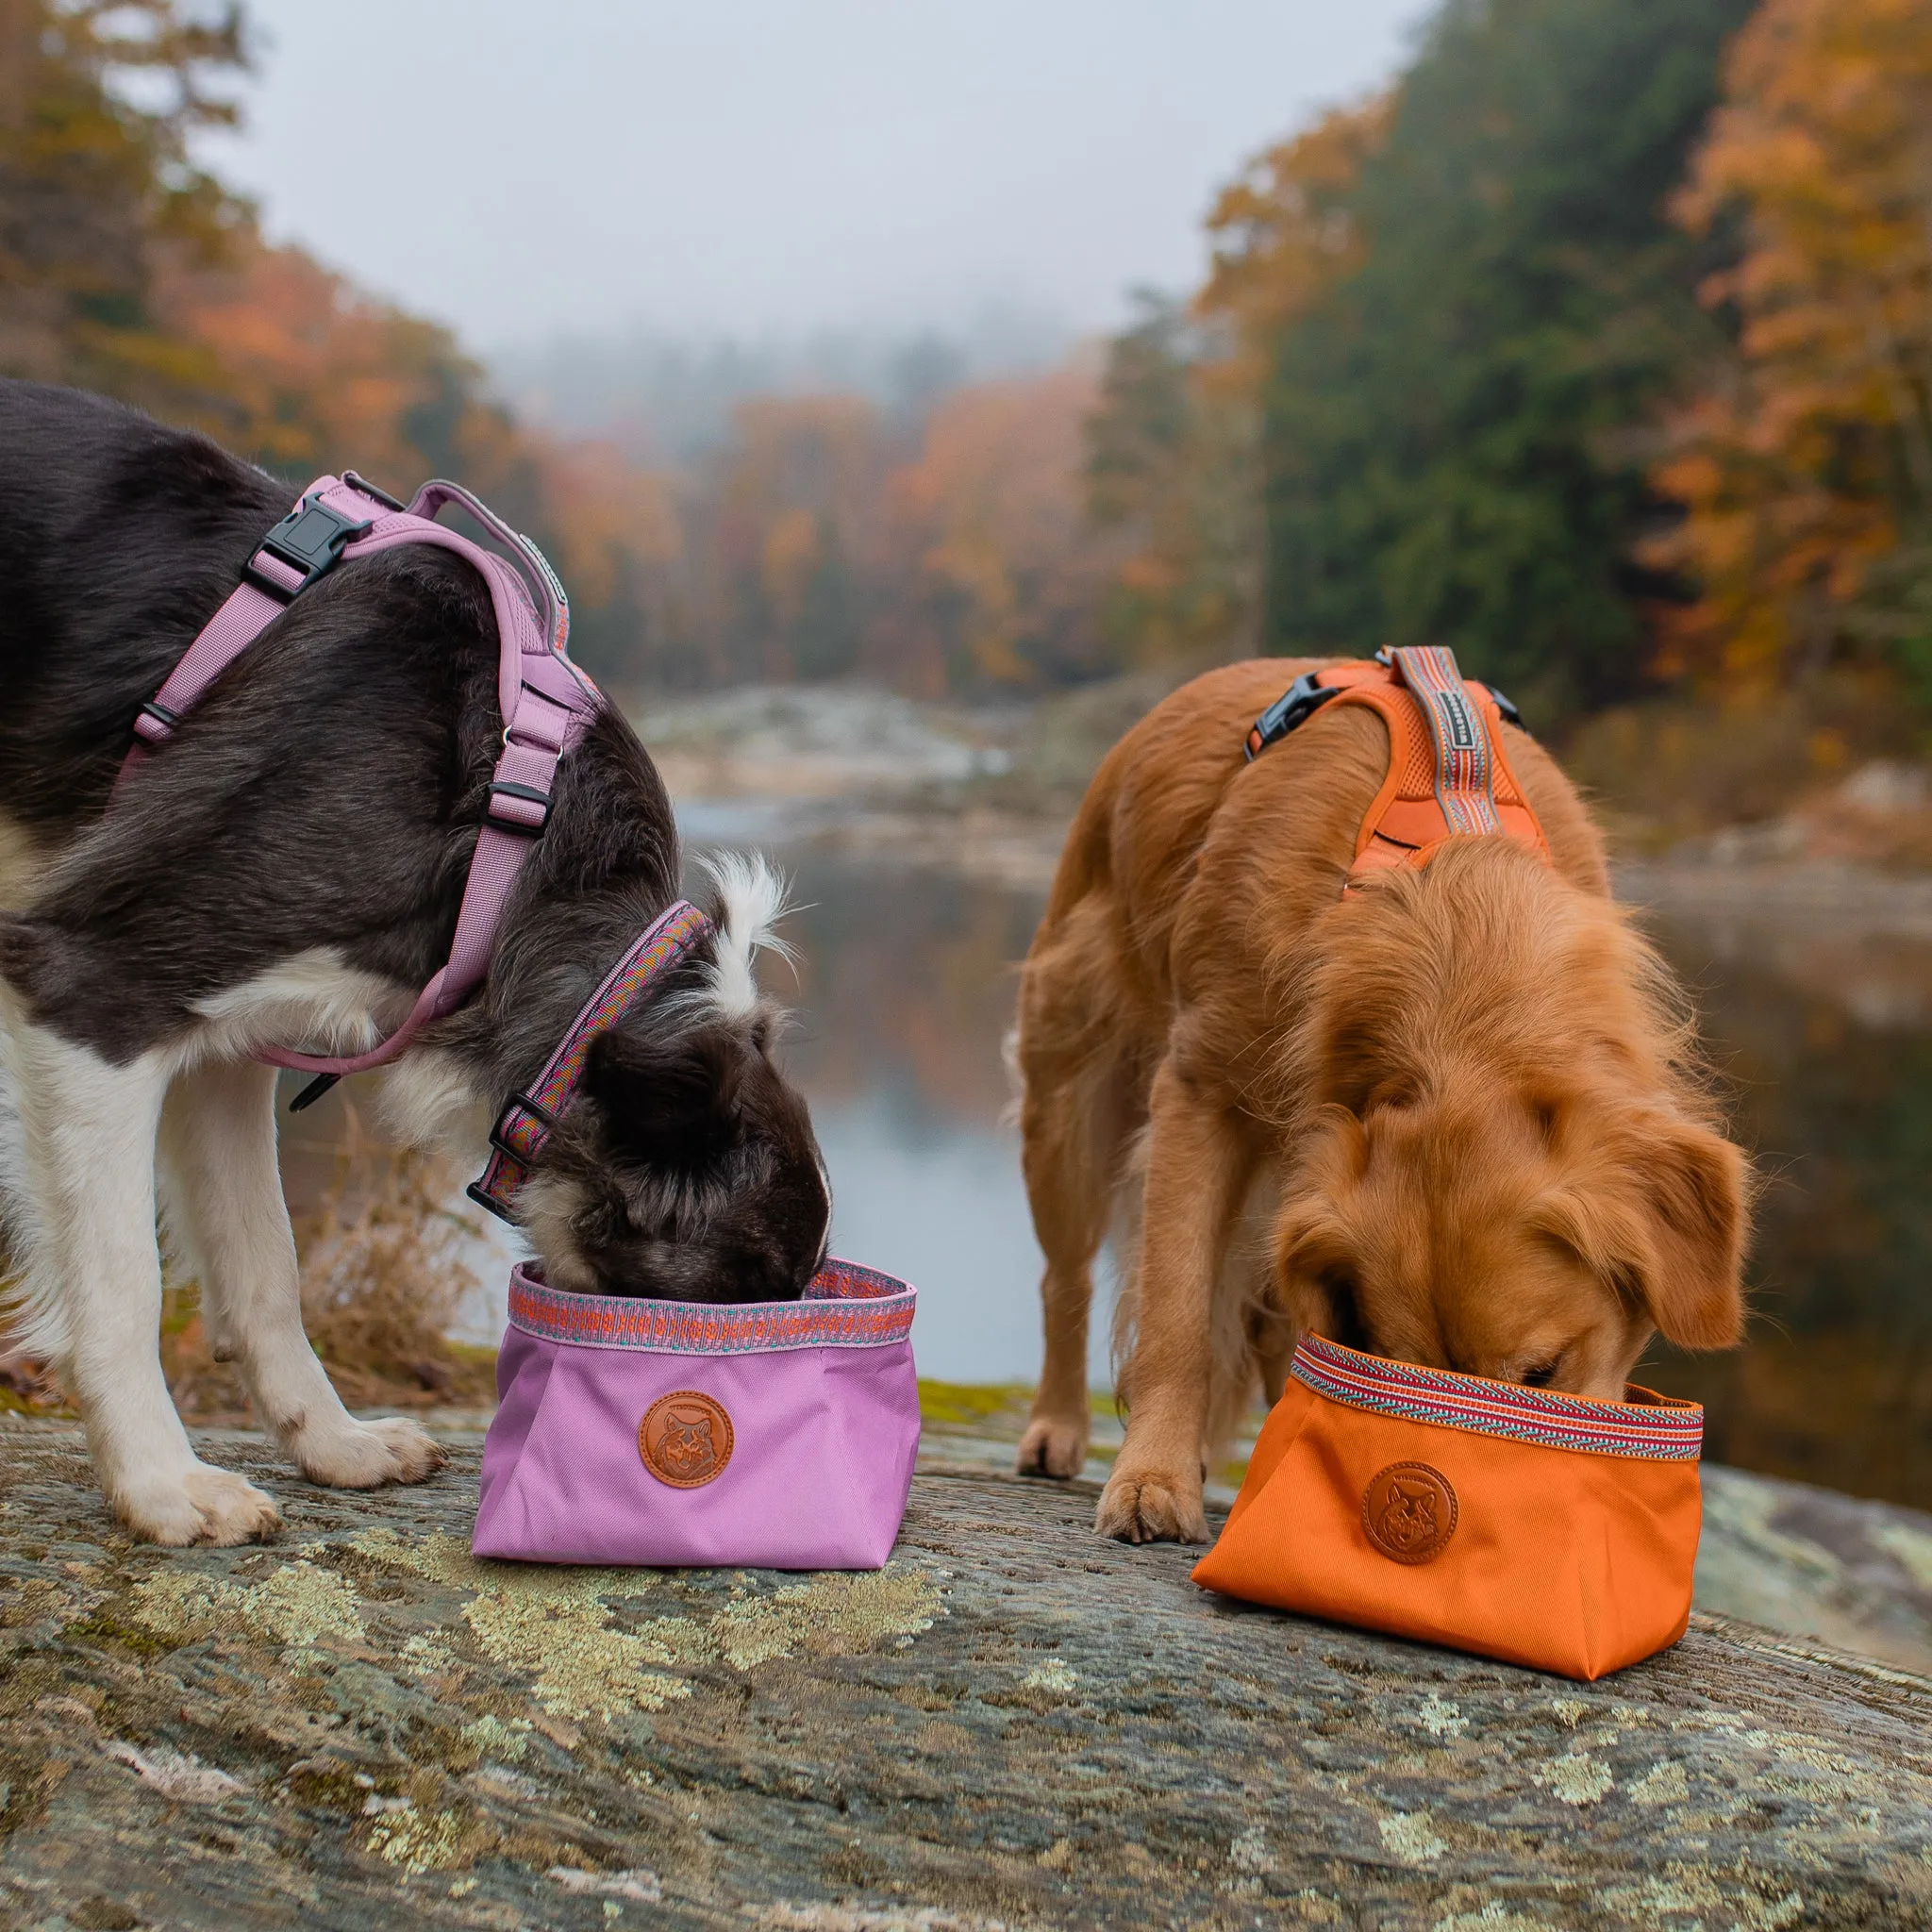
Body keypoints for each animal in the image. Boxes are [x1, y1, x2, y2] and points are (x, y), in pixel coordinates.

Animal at [0, 384, 826, 1545]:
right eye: (750, 1286)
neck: (506, 839)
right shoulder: (93, 982)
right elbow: (121, 1277)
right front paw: (162, 1483)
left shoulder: (220, 1047)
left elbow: (265, 1262)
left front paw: (330, 1439)